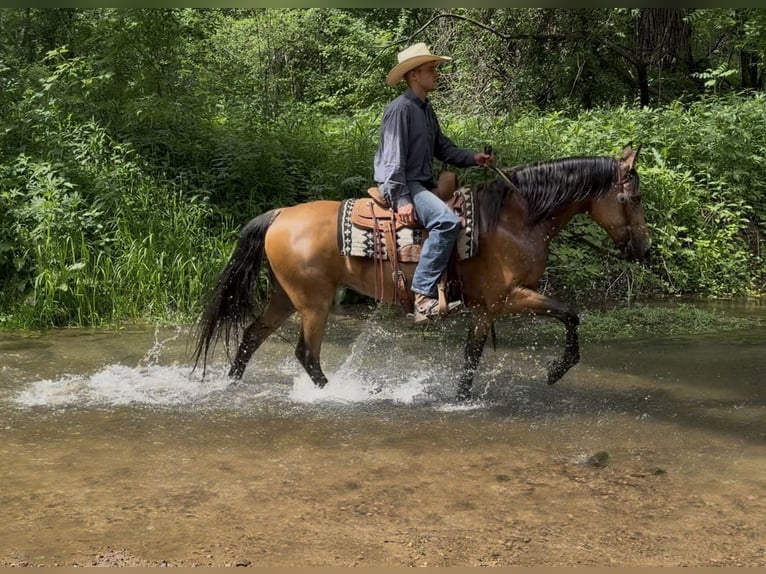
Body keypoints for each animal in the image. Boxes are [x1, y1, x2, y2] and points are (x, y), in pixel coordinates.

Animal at [192, 143, 649, 401]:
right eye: (634, 197)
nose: (644, 248)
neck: (513, 221)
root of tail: (281, 215)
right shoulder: (506, 298)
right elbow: (570, 313)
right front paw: (556, 370)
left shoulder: (484, 309)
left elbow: (471, 358)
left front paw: (460, 399)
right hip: (313, 303)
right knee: (306, 354)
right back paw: (339, 394)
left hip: (285, 296)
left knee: (251, 337)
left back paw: (230, 386)